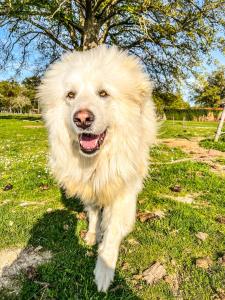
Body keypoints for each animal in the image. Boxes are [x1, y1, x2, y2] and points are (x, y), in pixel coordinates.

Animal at [37, 45, 156, 292]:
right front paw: (93, 235)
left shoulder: (122, 191)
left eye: (103, 93)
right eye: (70, 95)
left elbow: (112, 233)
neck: (97, 160)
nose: (82, 119)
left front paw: (104, 270)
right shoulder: (89, 186)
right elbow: (93, 215)